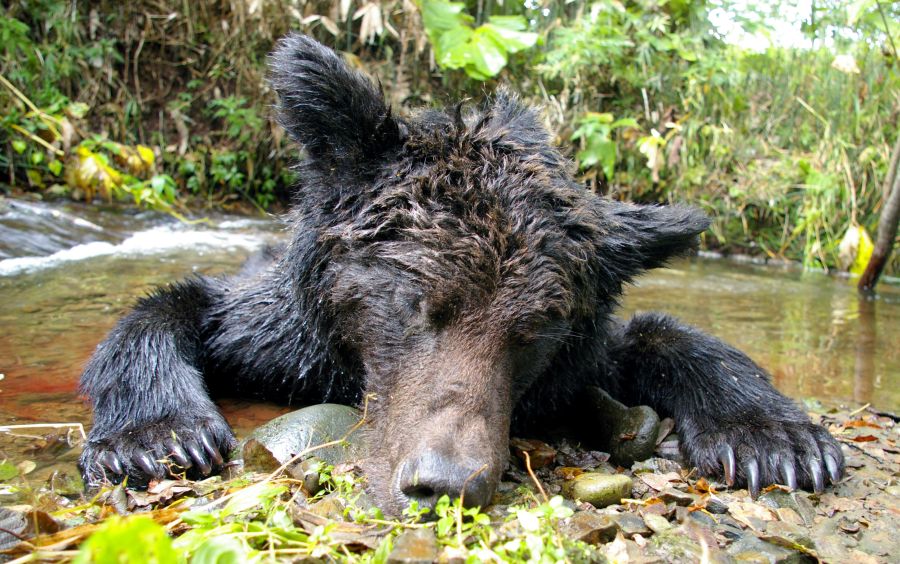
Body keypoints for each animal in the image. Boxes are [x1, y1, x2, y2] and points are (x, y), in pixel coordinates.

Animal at [77, 33, 844, 512]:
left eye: (535, 331)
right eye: (413, 300)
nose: (444, 484)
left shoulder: (579, 353)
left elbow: (665, 337)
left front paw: (773, 436)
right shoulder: (282, 336)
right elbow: (175, 307)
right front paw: (154, 433)